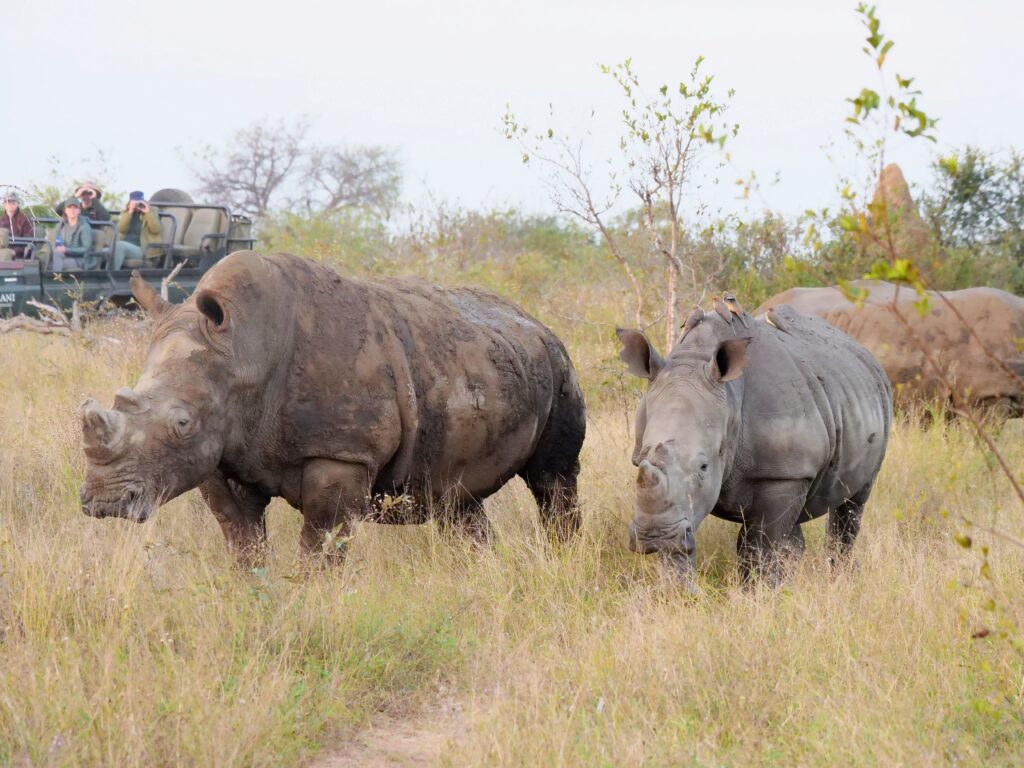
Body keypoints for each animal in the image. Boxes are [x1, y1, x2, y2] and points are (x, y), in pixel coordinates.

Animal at [79, 251, 586, 560]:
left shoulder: (342, 452)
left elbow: (320, 543)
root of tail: (536, 322)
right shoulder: (221, 452)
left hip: (560, 365)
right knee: (459, 500)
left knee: (553, 480)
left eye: (182, 422)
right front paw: (254, 596)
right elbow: (242, 539)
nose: (104, 501)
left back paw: (564, 558)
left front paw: (310, 600)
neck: (242, 353)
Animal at [617, 301, 891, 583]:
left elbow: (759, 546)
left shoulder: (782, 476)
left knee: (853, 503)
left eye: (704, 467)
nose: (654, 536)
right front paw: (679, 589)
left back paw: (839, 574)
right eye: (639, 461)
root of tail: (862, 351)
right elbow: (678, 549)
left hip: (878, 397)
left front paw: (761, 591)